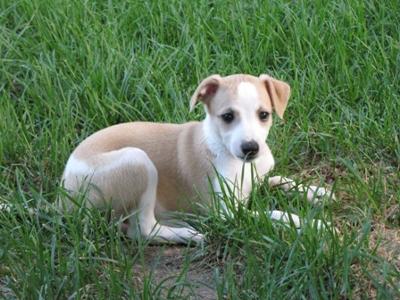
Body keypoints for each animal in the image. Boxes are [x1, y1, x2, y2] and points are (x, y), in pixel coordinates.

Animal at [60, 74, 334, 244]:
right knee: (142, 231)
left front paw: (317, 192)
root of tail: (62, 195)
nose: (250, 148)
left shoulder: (258, 175)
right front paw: (314, 225)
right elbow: (272, 214)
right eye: (227, 116)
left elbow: (277, 180)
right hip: (137, 160)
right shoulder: (227, 214)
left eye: (264, 114)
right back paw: (186, 234)